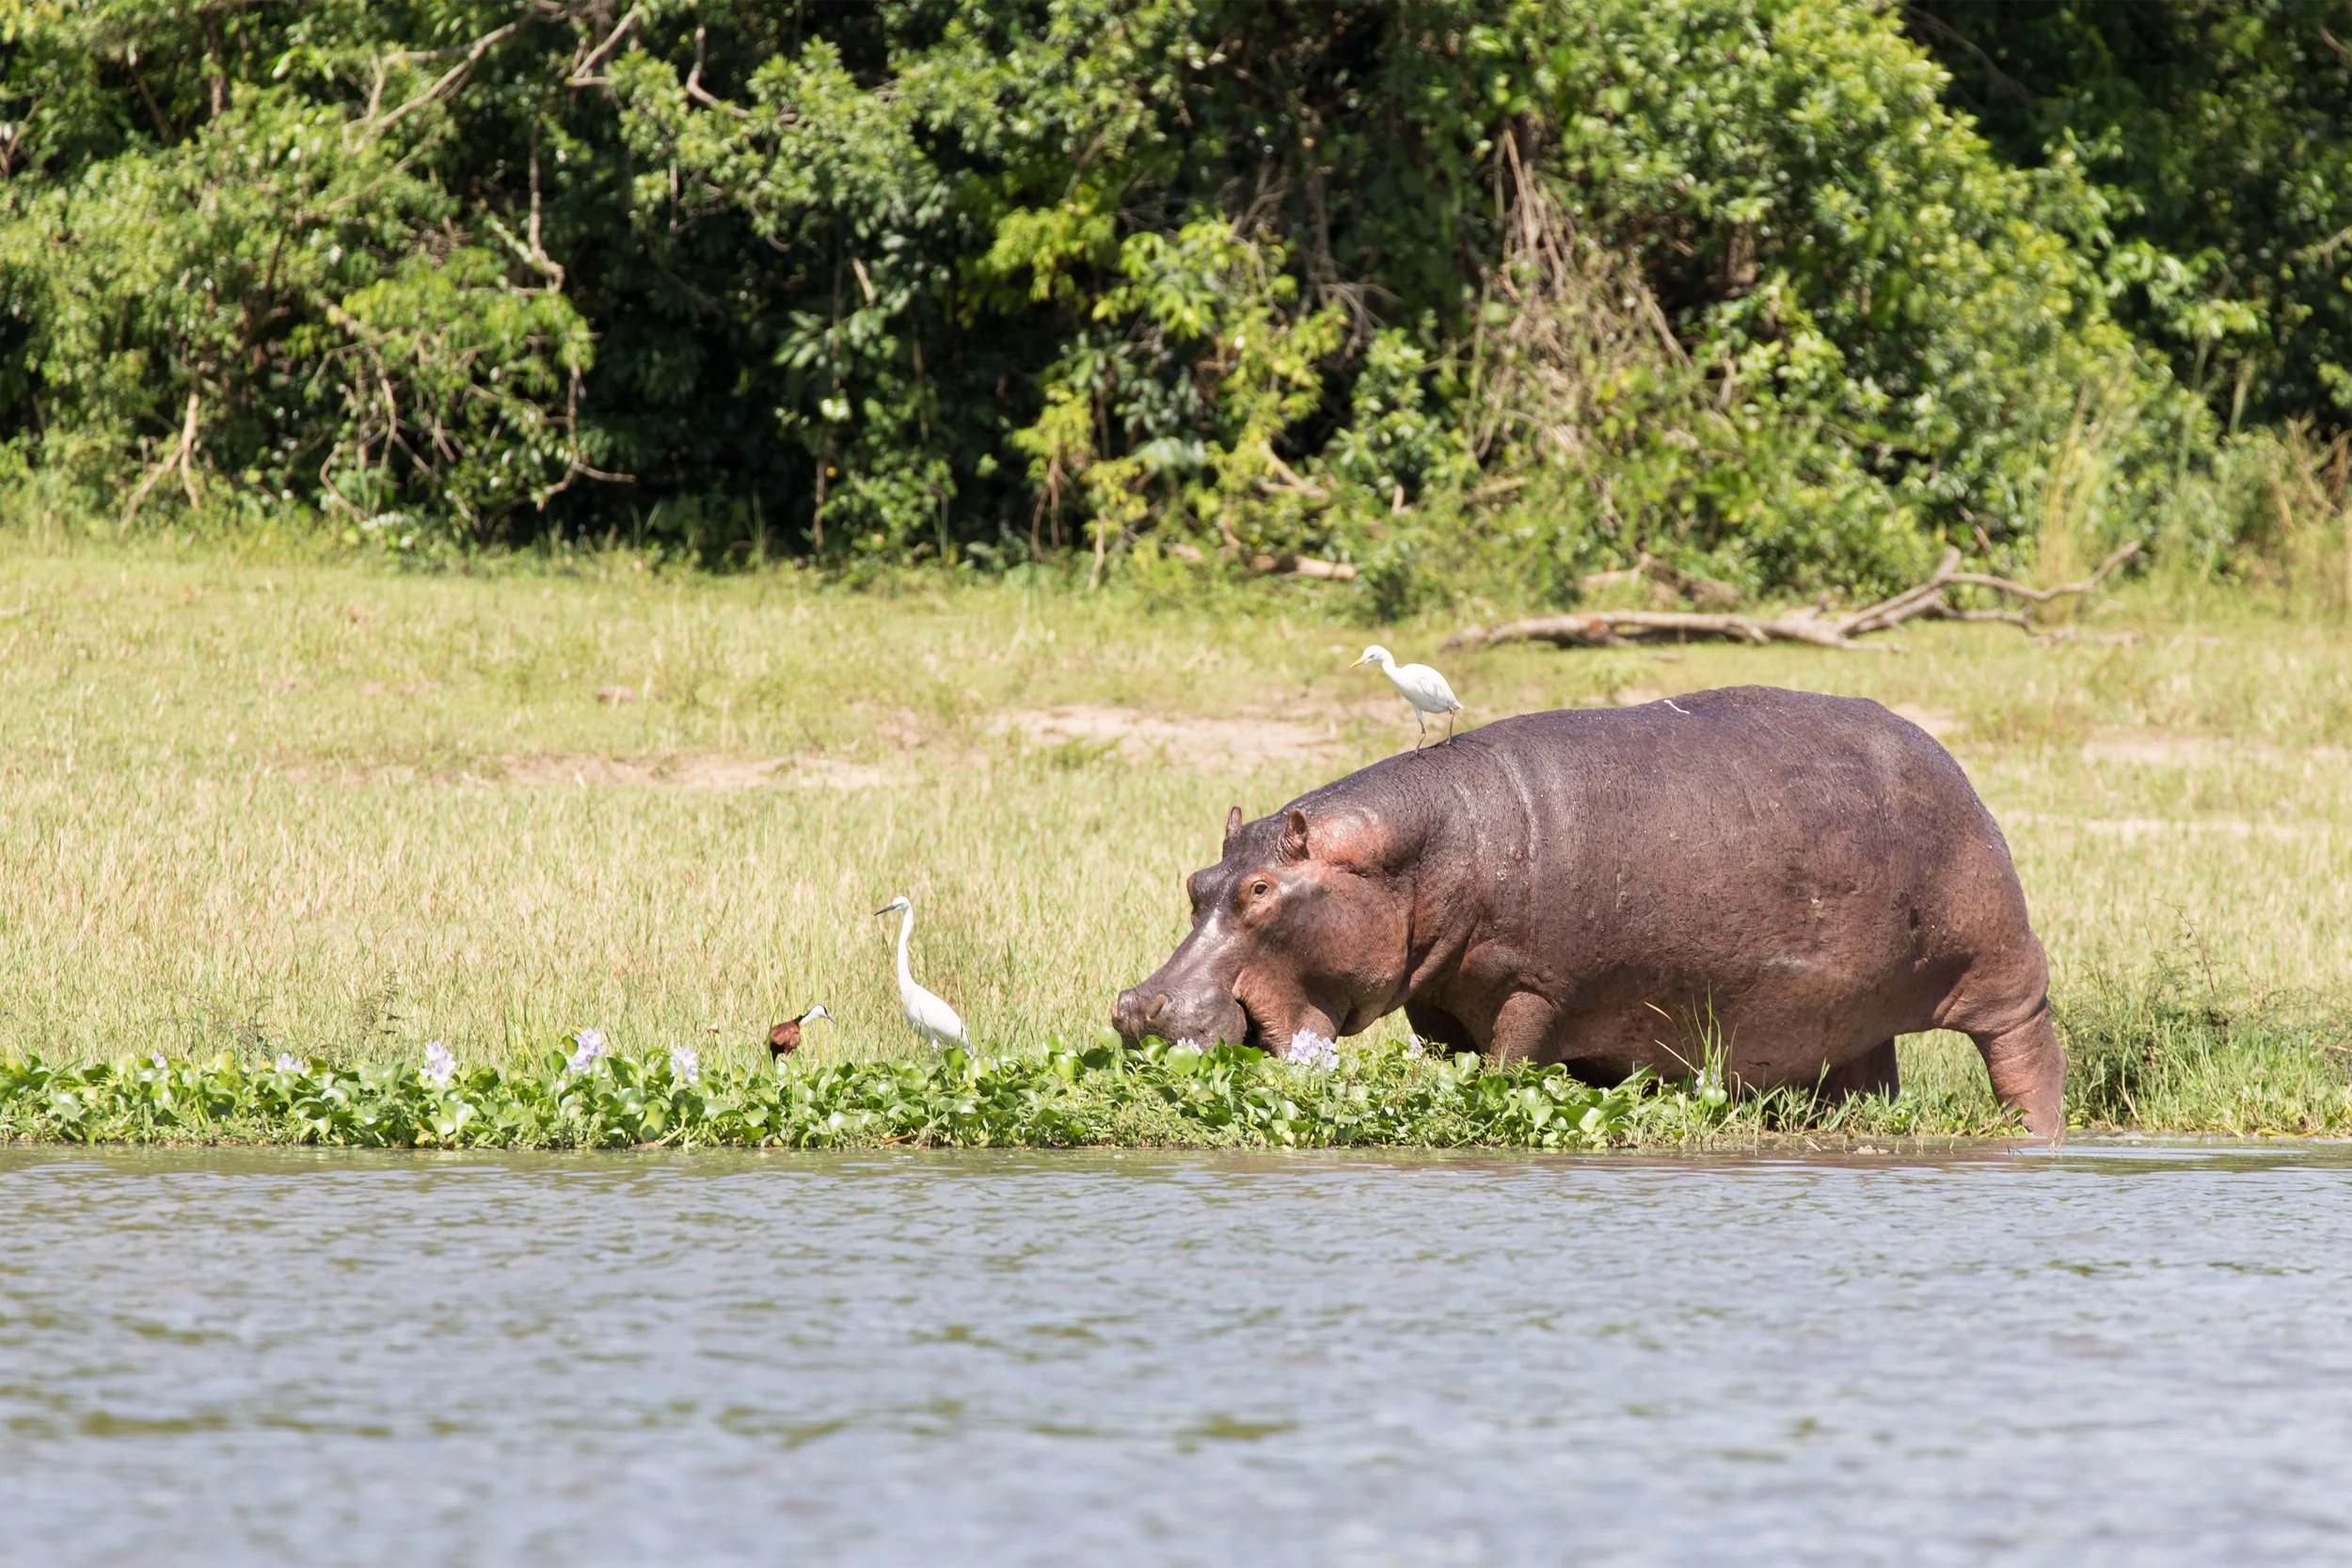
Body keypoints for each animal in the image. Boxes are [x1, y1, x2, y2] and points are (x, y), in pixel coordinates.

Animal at [1112, 685, 2064, 1138]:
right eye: (1198, 879)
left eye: (1261, 891)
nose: (1139, 1006)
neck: (1422, 850)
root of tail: (1946, 756)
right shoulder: (1440, 1003)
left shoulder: (1539, 989)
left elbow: (1508, 1068)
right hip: (1848, 1016)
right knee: (1865, 1082)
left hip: (2002, 963)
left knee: (2025, 1052)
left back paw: (2034, 1136)